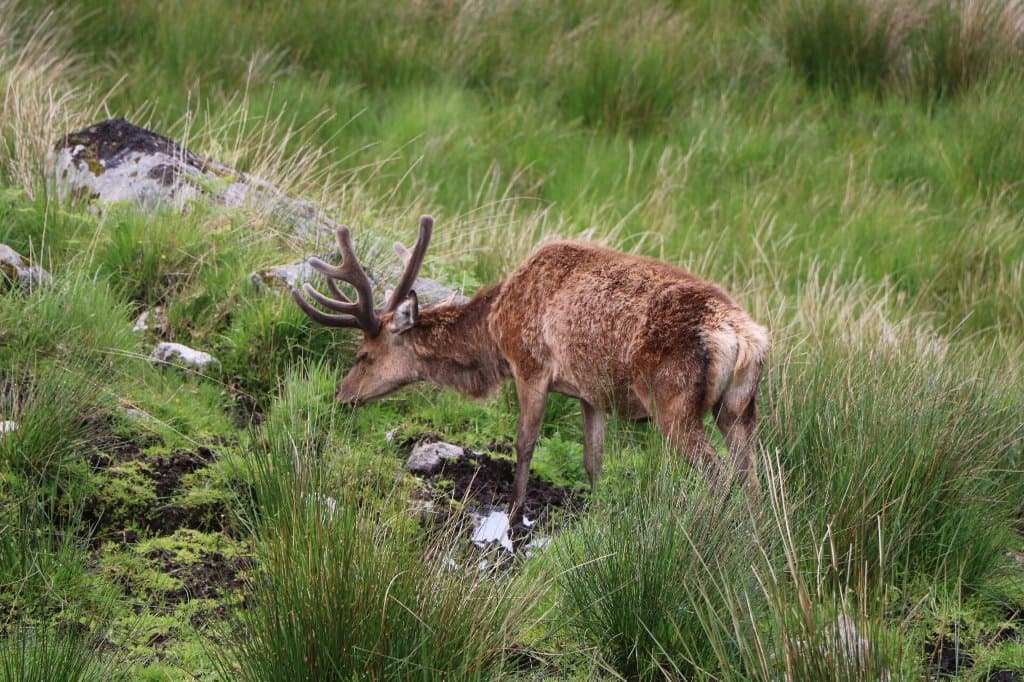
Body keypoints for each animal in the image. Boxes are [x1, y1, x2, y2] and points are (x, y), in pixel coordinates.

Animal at [292, 215, 769, 514]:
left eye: (363, 354)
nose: (341, 393)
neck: (494, 330)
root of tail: (744, 338)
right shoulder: (589, 391)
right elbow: (593, 460)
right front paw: (598, 514)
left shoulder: (530, 365)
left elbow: (524, 444)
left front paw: (515, 513)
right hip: (740, 408)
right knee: (753, 478)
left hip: (674, 402)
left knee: (720, 475)